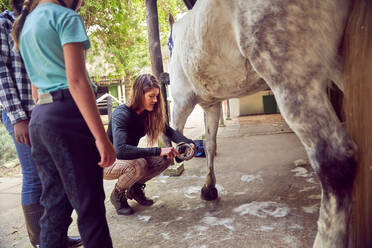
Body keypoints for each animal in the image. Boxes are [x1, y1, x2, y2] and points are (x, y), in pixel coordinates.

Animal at [169, 0, 372, 248]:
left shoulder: (181, 101)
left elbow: (178, 133)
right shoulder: (212, 105)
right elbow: (210, 144)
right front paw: (209, 187)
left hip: (289, 71)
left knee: (336, 160)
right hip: (335, 62)